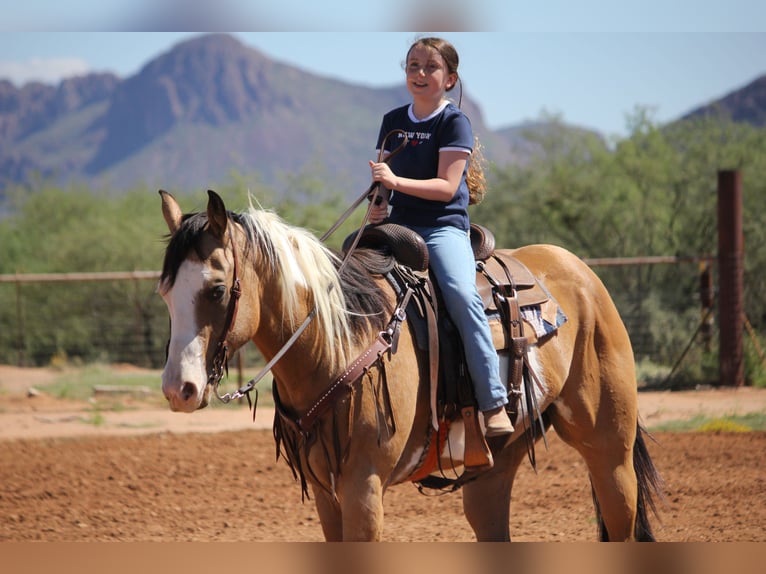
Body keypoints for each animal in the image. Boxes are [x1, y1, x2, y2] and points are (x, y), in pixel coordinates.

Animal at [157, 189, 662, 542]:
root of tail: (582, 273)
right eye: (165, 291)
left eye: (216, 289)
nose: (178, 390)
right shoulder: (325, 494)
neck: (342, 341)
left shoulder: (364, 489)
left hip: (610, 451)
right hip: (494, 468)